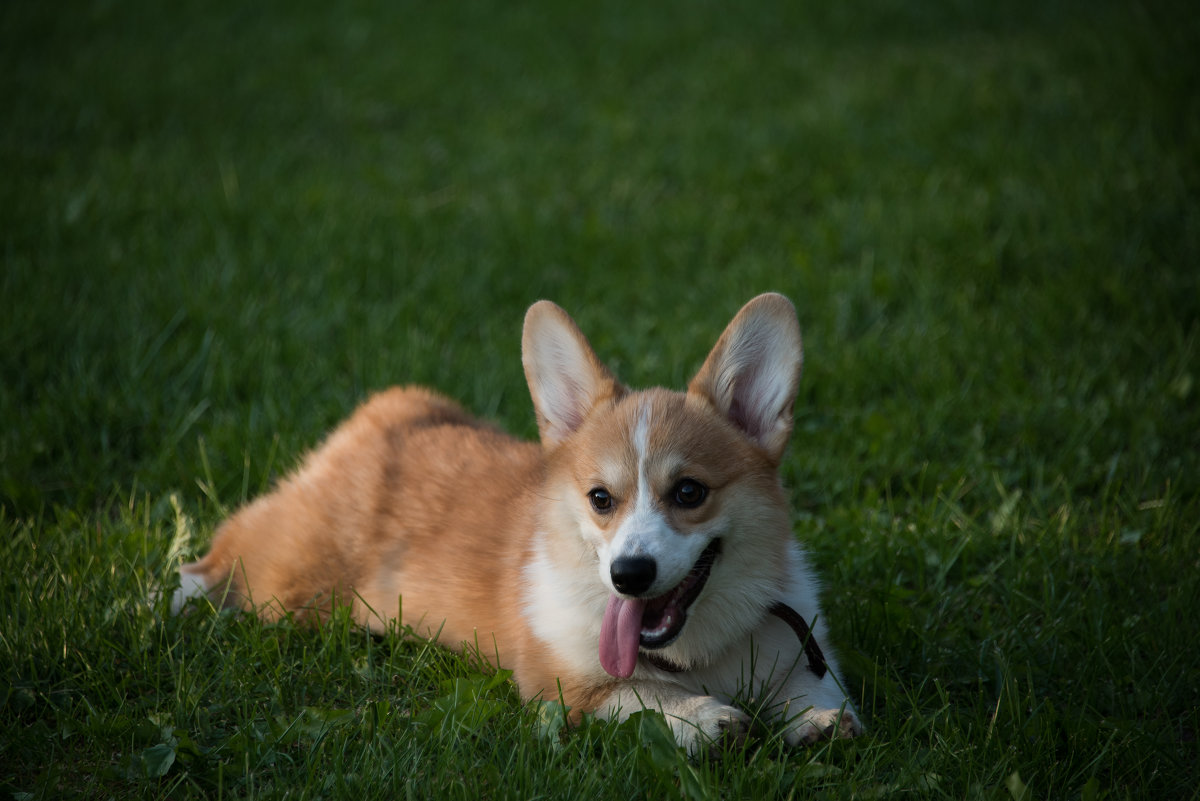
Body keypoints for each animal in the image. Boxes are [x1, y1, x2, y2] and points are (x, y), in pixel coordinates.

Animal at [171, 292, 864, 753]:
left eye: (689, 492)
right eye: (600, 498)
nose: (629, 575)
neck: (693, 654)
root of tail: (377, 419)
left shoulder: (804, 647)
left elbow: (815, 692)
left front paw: (817, 721)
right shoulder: (558, 685)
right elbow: (639, 697)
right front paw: (704, 718)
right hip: (284, 585)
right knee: (206, 563)